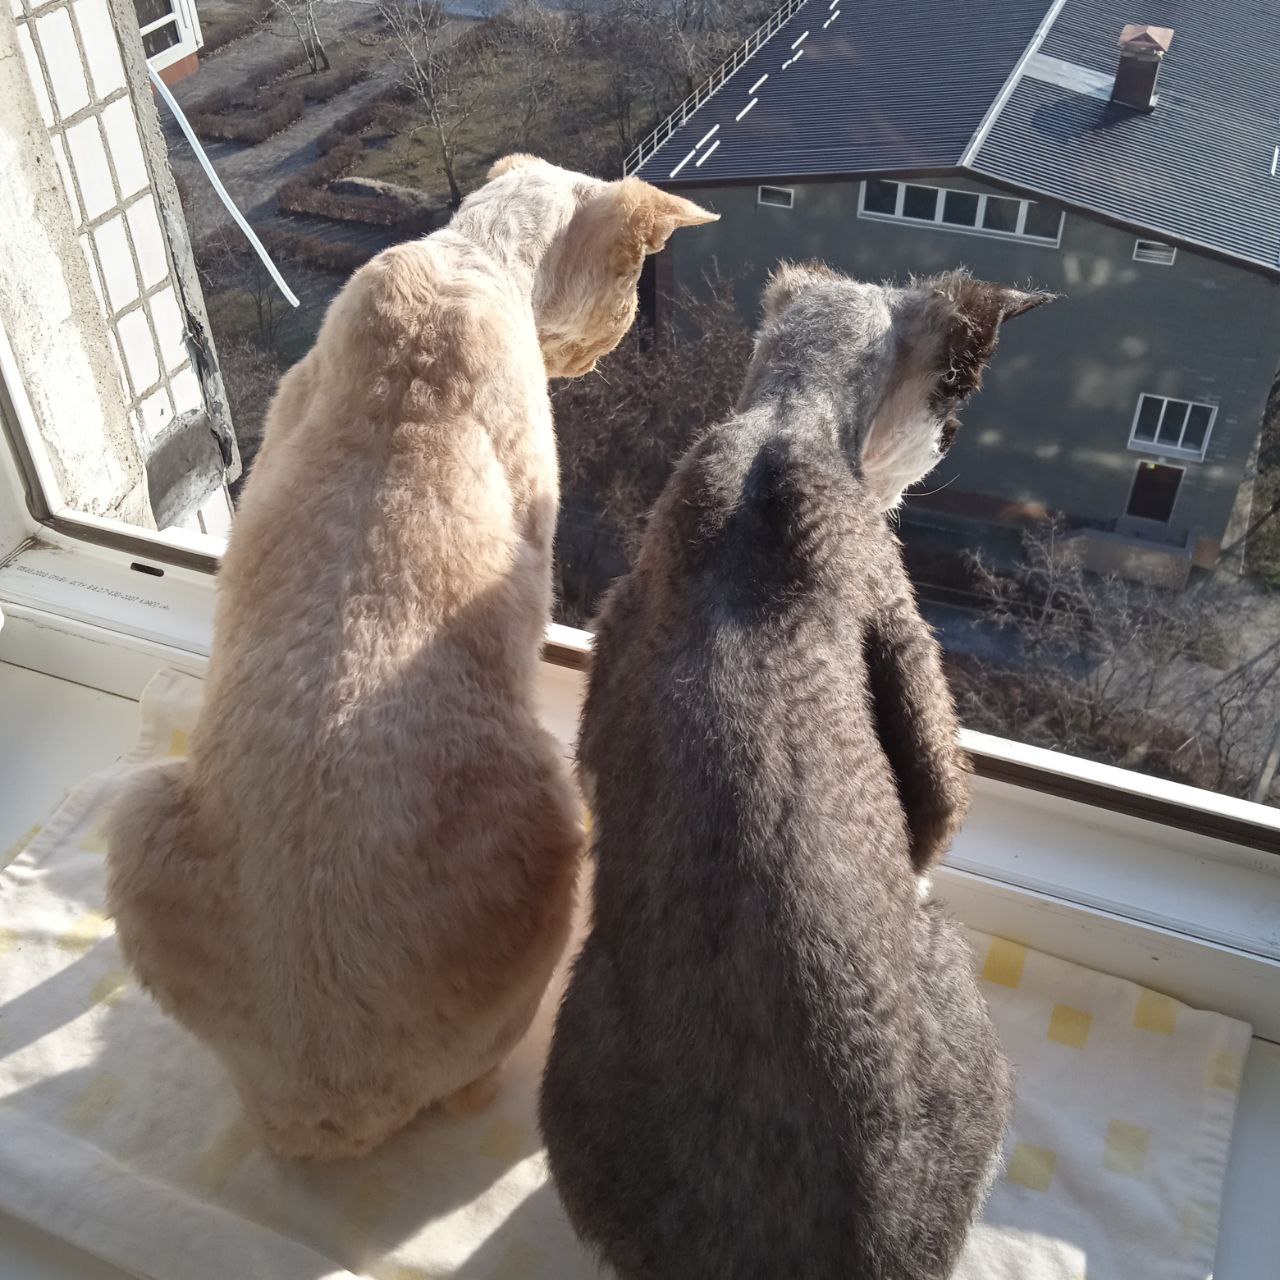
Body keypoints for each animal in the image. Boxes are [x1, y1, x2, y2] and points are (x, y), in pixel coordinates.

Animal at [540, 264, 1049, 1274]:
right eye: (954, 406)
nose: (944, 451)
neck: (783, 423)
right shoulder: (901, 635)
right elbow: (937, 808)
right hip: (948, 969)